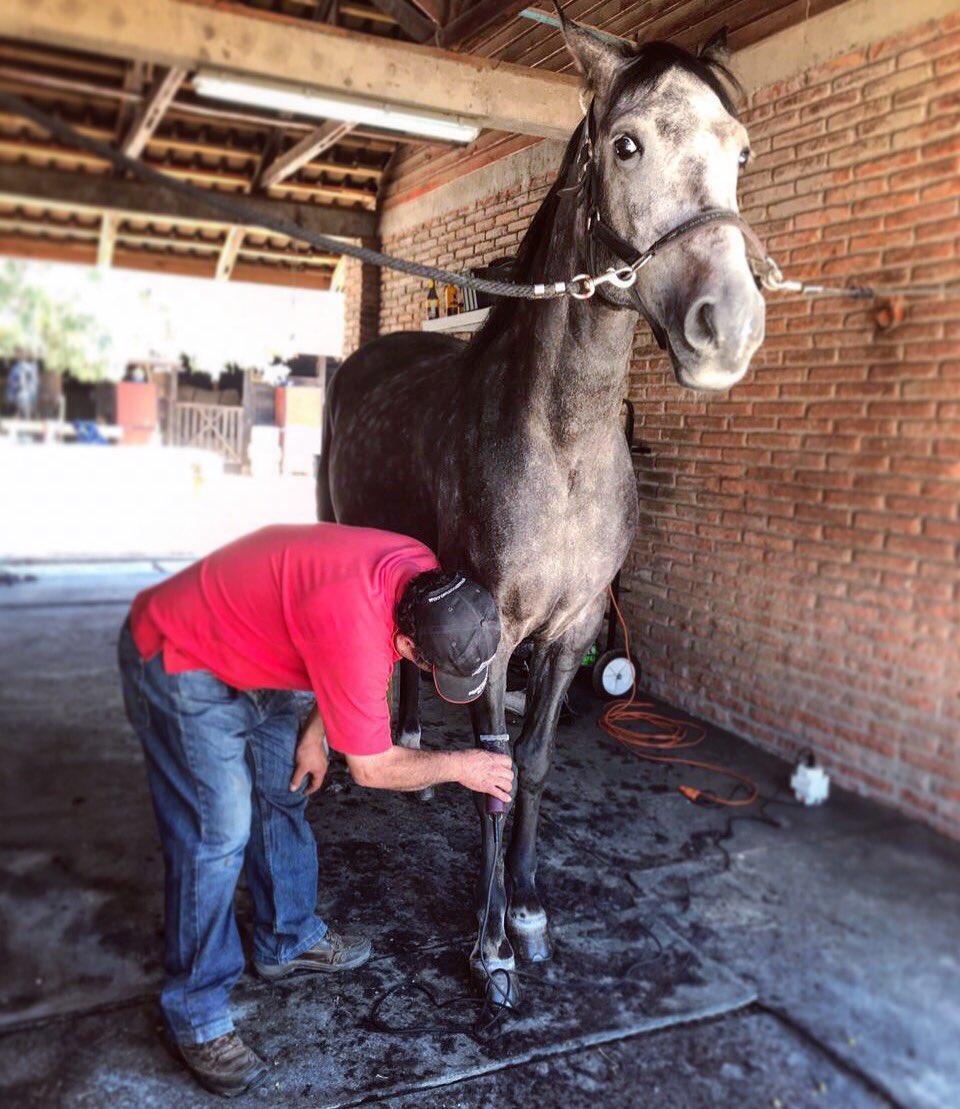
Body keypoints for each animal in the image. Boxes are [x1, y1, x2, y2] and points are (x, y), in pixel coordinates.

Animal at [317, 14, 766, 1007]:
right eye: (626, 144)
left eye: (741, 150)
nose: (727, 328)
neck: (560, 442)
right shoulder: (495, 630)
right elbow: (490, 767)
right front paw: (488, 949)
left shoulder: (572, 629)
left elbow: (533, 762)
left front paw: (524, 910)